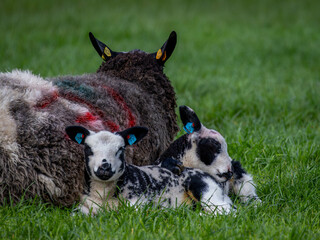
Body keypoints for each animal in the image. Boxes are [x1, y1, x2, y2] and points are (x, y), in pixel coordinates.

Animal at [65, 125, 235, 216]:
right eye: (88, 149)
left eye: (121, 149)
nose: (105, 167)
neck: (104, 195)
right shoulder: (84, 207)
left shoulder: (139, 204)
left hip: (204, 187)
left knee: (225, 210)